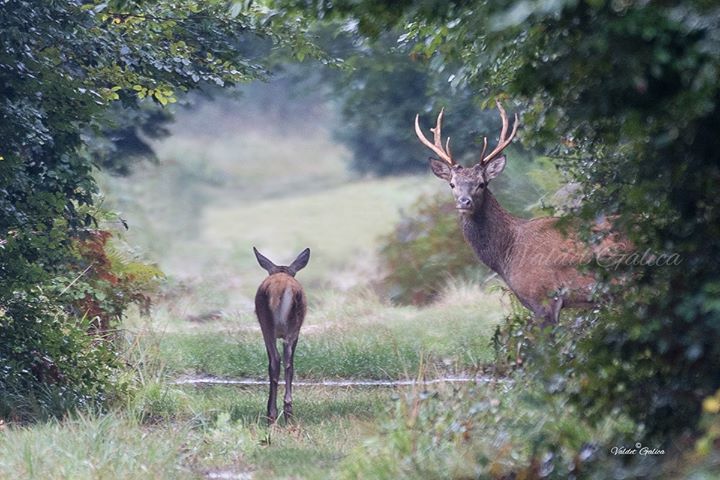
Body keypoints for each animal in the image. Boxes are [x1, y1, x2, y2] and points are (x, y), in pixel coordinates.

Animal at [253, 248, 310, 424]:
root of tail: (279, 288)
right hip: (288, 326)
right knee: (285, 361)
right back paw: (283, 412)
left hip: (269, 325)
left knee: (278, 360)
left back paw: (275, 413)